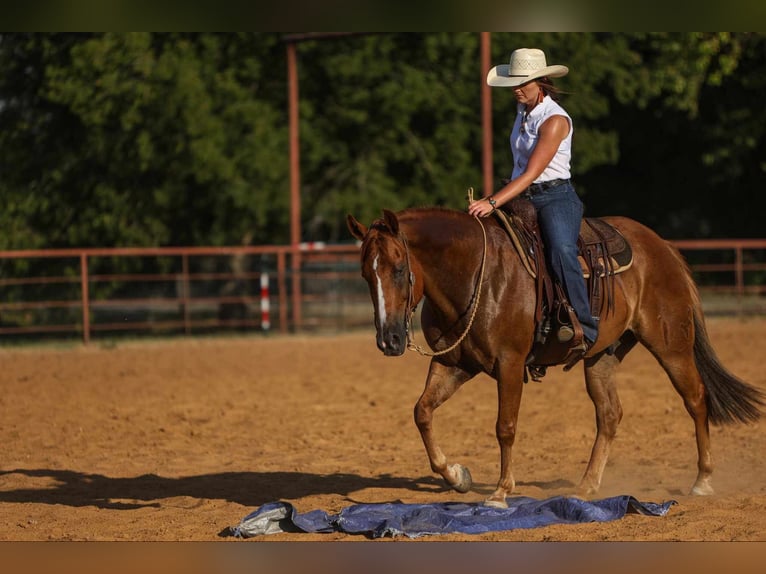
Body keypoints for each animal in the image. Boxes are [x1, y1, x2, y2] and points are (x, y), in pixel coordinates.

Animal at [350, 207, 766, 508]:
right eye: (366, 276)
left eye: (399, 269)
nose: (389, 340)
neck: (476, 274)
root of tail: (662, 246)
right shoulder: (454, 363)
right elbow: (422, 412)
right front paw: (457, 476)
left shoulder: (509, 364)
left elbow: (505, 427)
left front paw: (500, 492)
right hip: (602, 357)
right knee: (609, 415)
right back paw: (586, 486)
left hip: (671, 345)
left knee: (696, 399)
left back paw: (703, 480)